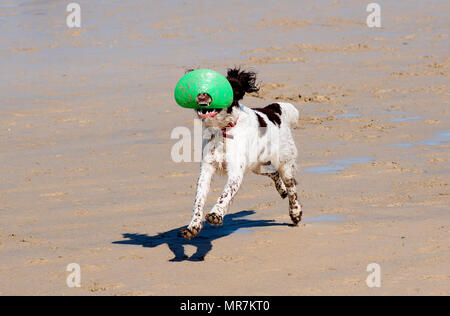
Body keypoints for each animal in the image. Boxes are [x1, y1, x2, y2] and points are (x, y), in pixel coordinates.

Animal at [180, 67, 302, 239]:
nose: (202, 93)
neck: (222, 130)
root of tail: (274, 110)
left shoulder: (235, 172)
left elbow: (226, 193)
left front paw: (216, 214)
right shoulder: (206, 169)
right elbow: (199, 200)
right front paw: (193, 226)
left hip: (284, 162)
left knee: (292, 188)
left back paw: (295, 212)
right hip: (258, 166)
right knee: (274, 173)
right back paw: (282, 191)